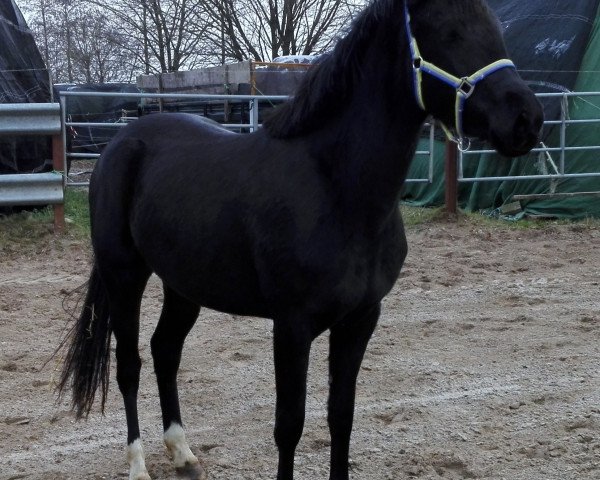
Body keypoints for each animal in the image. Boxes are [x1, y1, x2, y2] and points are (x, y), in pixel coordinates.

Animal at [57, 0, 544, 480]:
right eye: (448, 32)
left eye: (495, 29)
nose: (527, 119)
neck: (336, 188)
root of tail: (121, 142)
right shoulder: (292, 326)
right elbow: (289, 426)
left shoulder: (360, 319)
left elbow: (341, 417)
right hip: (124, 275)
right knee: (129, 365)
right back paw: (138, 465)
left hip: (183, 284)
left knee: (165, 351)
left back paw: (182, 452)